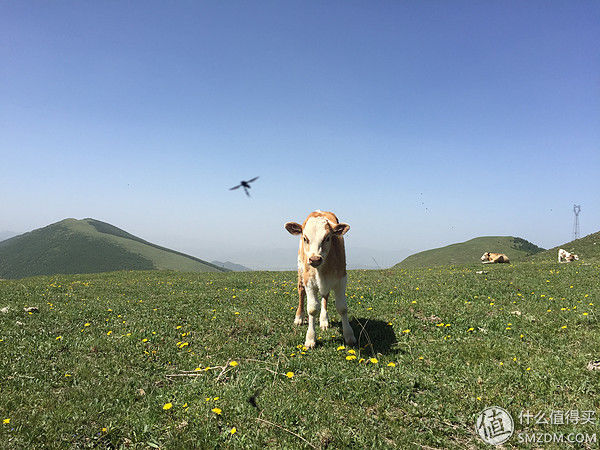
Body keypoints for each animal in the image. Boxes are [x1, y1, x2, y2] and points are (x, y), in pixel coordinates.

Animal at [284, 209, 356, 350]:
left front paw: (349, 334)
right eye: (305, 238)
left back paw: (324, 320)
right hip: (300, 271)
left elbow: (342, 307)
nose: (315, 259)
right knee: (301, 292)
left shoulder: (341, 279)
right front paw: (310, 338)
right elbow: (312, 309)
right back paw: (299, 317)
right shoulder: (309, 281)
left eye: (327, 238)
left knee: (325, 296)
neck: (322, 270)